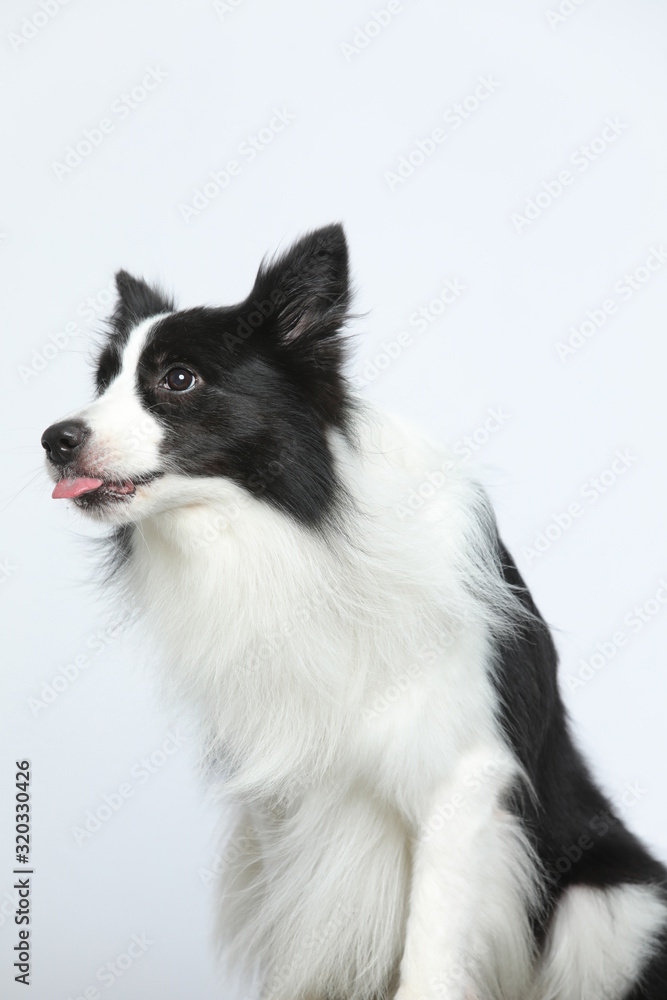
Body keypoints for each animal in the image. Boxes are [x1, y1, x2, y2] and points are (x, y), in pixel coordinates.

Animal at [41, 227, 667, 1000]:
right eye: (102, 380)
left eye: (178, 379)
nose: (53, 440)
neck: (293, 528)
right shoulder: (280, 788)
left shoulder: (459, 783)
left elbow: (429, 955)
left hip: (609, 904)